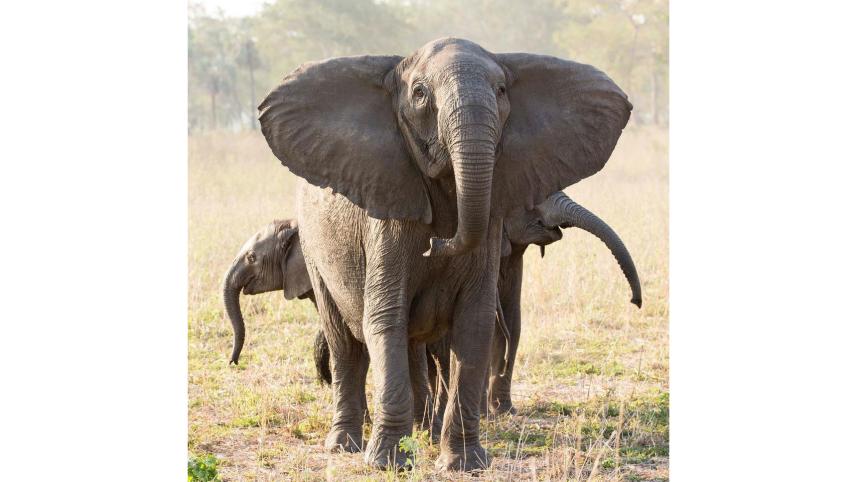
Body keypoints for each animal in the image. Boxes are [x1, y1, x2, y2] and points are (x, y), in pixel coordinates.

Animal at [258, 37, 631, 471]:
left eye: (501, 91)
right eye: (419, 94)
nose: (437, 243)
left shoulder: (491, 226)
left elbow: (476, 324)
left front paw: (464, 464)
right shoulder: (387, 219)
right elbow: (385, 318)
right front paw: (387, 464)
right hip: (314, 252)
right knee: (344, 345)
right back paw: (344, 445)